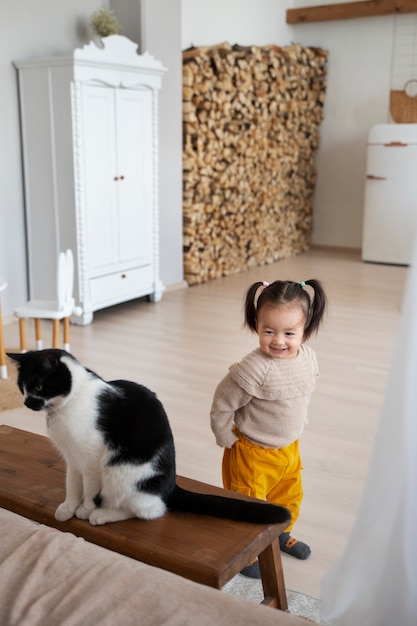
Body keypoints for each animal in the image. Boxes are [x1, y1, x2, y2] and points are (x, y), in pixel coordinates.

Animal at [8, 348, 290, 524]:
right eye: (21, 387)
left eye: (38, 386)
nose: (27, 402)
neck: (67, 403)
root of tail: (171, 486)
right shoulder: (72, 459)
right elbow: (72, 485)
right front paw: (68, 507)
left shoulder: (90, 461)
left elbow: (88, 489)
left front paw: (85, 509)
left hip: (120, 471)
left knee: (150, 510)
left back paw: (103, 515)